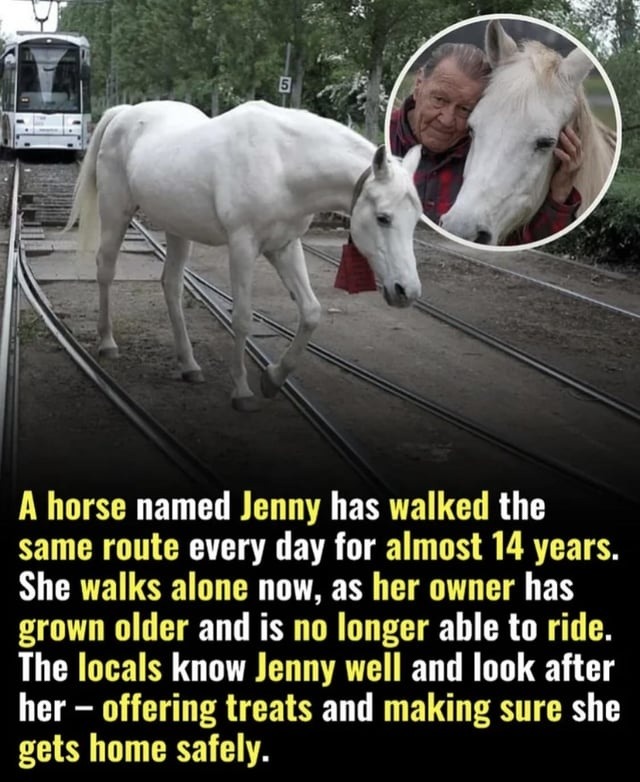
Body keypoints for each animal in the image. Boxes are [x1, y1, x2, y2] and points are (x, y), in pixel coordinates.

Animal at [65, 99, 423, 410]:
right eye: (383, 218)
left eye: (416, 218)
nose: (406, 291)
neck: (282, 162)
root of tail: (124, 113)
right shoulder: (243, 247)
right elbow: (241, 319)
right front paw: (242, 391)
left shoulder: (284, 246)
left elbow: (311, 312)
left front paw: (274, 378)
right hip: (116, 212)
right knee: (106, 270)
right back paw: (107, 343)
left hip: (178, 229)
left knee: (172, 285)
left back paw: (189, 365)